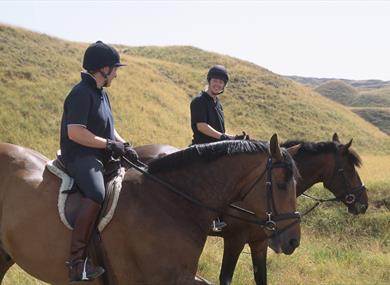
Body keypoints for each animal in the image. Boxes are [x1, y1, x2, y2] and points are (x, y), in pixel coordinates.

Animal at [135, 133, 368, 284]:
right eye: (349, 169)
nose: (363, 203)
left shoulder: (259, 243)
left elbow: (261, 278)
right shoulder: (235, 241)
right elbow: (225, 278)